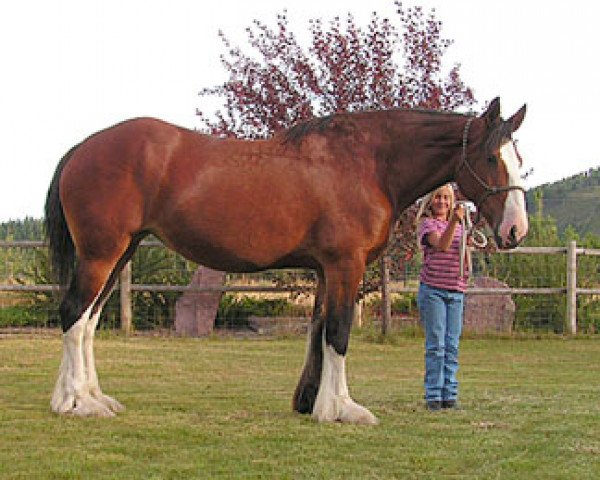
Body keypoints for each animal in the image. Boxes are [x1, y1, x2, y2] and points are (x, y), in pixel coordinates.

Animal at [44, 97, 528, 424]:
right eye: (491, 157)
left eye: (518, 157)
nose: (515, 231)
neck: (368, 162)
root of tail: (82, 148)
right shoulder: (345, 265)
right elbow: (339, 332)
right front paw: (342, 408)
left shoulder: (326, 270)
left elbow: (319, 330)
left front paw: (314, 402)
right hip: (101, 253)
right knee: (74, 314)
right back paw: (76, 403)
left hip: (120, 252)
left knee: (88, 321)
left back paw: (90, 397)